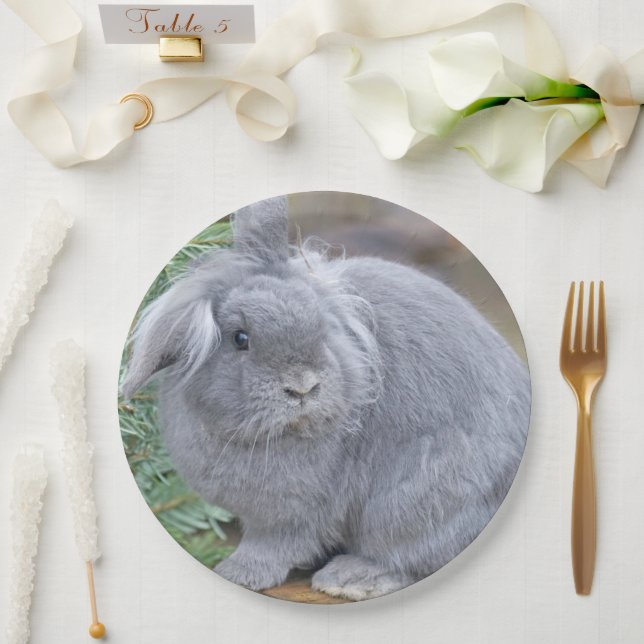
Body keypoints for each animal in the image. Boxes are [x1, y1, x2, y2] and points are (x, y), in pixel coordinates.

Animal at [122, 195, 531, 601]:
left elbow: (273, 546)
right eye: (240, 338)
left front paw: (238, 573)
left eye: (320, 326)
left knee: (414, 557)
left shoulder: (291, 516)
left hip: (416, 497)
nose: (303, 387)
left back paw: (349, 578)